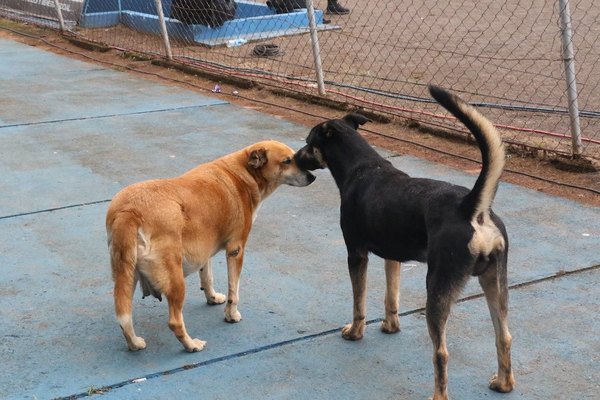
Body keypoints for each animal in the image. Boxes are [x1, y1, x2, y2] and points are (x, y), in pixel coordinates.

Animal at [106, 140, 316, 350]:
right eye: (287, 161)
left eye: (295, 157)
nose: (312, 177)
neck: (243, 173)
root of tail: (129, 211)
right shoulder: (236, 250)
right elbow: (234, 291)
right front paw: (231, 315)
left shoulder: (202, 251)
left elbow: (207, 278)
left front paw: (212, 298)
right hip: (174, 280)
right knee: (174, 322)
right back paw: (191, 345)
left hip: (126, 274)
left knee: (123, 316)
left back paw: (134, 343)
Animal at [296, 86, 516, 400]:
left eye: (308, 143)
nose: (293, 157)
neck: (362, 167)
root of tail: (471, 208)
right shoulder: (393, 257)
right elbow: (391, 296)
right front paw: (391, 326)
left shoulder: (356, 254)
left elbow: (359, 300)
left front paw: (355, 332)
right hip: (495, 283)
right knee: (504, 336)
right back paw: (504, 383)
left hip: (437, 287)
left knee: (441, 353)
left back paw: (438, 395)